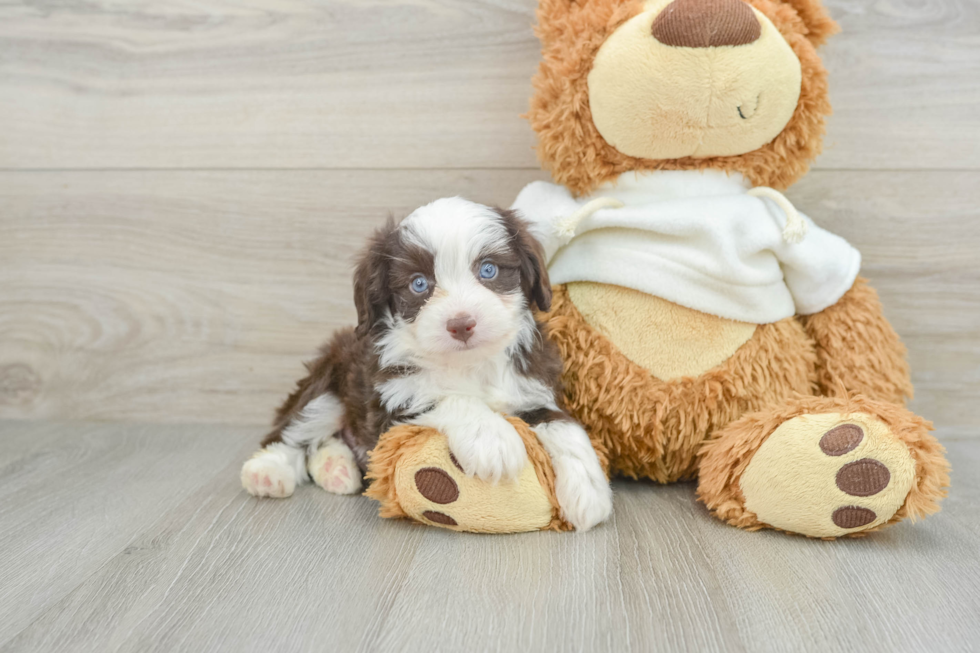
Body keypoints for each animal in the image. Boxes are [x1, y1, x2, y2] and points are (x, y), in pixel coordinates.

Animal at [241, 197, 612, 528]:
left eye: (488, 270)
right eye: (419, 284)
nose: (461, 324)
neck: (468, 363)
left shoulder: (531, 388)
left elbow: (563, 425)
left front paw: (588, 491)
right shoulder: (389, 401)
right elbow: (447, 397)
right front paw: (492, 438)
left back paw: (337, 468)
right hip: (328, 382)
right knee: (292, 431)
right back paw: (268, 471)